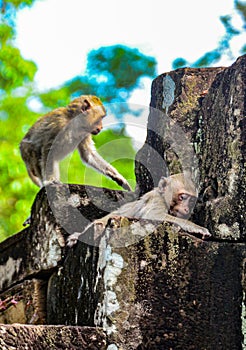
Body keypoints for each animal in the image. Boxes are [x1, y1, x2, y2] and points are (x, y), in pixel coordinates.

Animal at [67, 173, 211, 246]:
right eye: (182, 197)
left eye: (191, 200)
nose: (187, 208)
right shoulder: (157, 201)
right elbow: (153, 215)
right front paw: (196, 228)